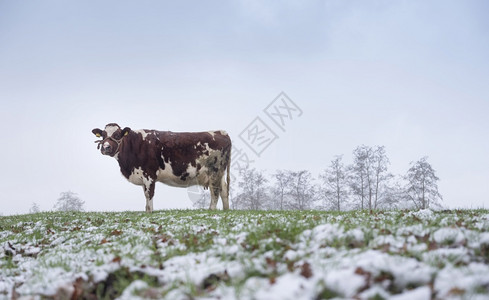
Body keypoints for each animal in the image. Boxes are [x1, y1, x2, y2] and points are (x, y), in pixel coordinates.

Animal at [92, 123, 233, 212]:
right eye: (103, 135)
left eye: (117, 135)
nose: (105, 147)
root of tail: (221, 132)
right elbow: (145, 195)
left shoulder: (149, 175)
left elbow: (149, 195)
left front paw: (150, 212)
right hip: (219, 173)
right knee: (223, 190)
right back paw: (226, 211)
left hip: (214, 171)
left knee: (215, 191)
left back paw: (211, 211)